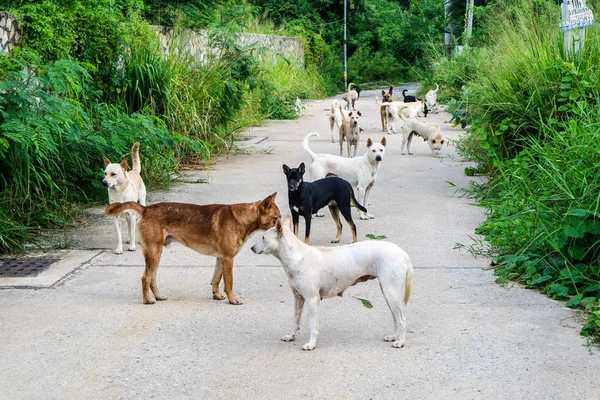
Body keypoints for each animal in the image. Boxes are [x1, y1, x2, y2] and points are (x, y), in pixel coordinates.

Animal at [105, 193, 278, 304]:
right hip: (154, 253)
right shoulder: (228, 259)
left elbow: (216, 279)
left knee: (152, 278)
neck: (242, 219)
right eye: (277, 218)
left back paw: (158, 296)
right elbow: (229, 283)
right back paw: (148, 300)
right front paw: (233, 299)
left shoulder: (221, 258)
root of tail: (146, 209)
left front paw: (217, 295)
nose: (282, 227)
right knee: (145, 278)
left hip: (156, 255)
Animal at [250, 217, 412, 352]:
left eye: (263, 237)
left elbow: (313, 326)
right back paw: (394, 337)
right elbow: (295, 321)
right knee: (395, 318)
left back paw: (401, 342)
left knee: (402, 320)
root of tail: (402, 253)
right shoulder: (298, 298)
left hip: (390, 293)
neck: (296, 256)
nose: (252, 248)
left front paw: (311, 344)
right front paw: (291, 336)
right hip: (388, 293)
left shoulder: (312, 300)